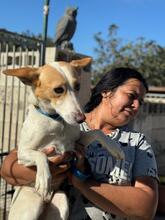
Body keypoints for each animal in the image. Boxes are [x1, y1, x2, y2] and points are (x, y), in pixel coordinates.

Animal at [3, 58, 124, 220]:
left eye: (77, 86)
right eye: (58, 90)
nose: (81, 119)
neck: (57, 122)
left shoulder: (76, 142)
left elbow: (97, 132)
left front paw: (116, 148)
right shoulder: (22, 154)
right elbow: (40, 155)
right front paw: (44, 179)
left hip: (62, 203)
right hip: (30, 208)